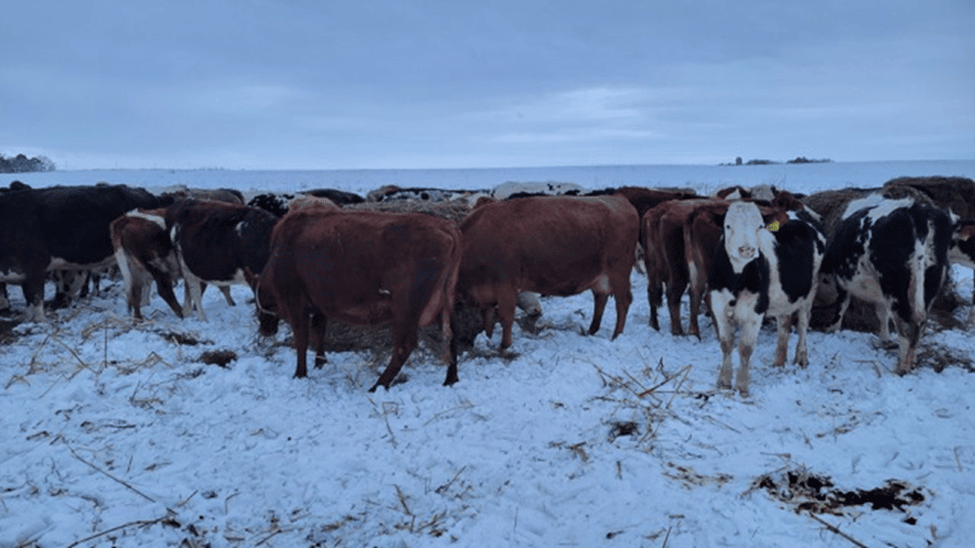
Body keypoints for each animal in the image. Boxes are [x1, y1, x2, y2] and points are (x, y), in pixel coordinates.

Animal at [254, 203, 464, 392]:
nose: (265, 330)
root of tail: (446, 226)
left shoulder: (296, 301)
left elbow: (302, 338)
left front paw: (300, 374)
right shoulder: (319, 304)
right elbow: (319, 332)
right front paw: (320, 364)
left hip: (407, 308)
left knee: (405, 346)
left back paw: (378, 385)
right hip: (444, 302)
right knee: (452, 336)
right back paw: (450, 379)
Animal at [460, 195, 640, 348]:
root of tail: (619, 199)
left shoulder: (506, 284)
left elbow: (506, 317)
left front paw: (504, 346)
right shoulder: (485, 292)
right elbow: (487, 317)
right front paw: (487, 338)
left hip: (619, 272)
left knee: (623, 302)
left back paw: (616, 336)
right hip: (600, 276)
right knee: (600, 298)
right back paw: (591, 330)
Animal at [704, 201, 828, 398]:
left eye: (760, 226)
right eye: (728, 225)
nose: (747, 249)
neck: (736, 279)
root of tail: (800, 213)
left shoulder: (755, 310)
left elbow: (745, 347)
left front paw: (742, 387)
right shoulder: (718, 305)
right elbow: (726, 343)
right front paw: (723, 383)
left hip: (811, 289)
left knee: (803, 323)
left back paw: (801, 357)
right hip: (785, 297)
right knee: (784, 324)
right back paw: (779, 361)